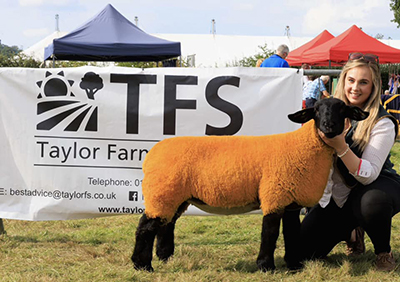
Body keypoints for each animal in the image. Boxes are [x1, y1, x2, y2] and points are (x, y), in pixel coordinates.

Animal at [133, 98, 370, 272]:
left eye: (342, 110)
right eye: (317, 111)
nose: (329, 126)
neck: (303, 148)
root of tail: (151, 155)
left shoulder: (291, 201)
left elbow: (292, 233)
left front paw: (294, 265)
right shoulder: (274, 194)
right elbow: (270, 233)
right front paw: (266, 266)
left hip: (174, 195)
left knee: (166, 223)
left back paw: (165, 257)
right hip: (163, 191)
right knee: (146, 226)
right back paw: (142, 265)